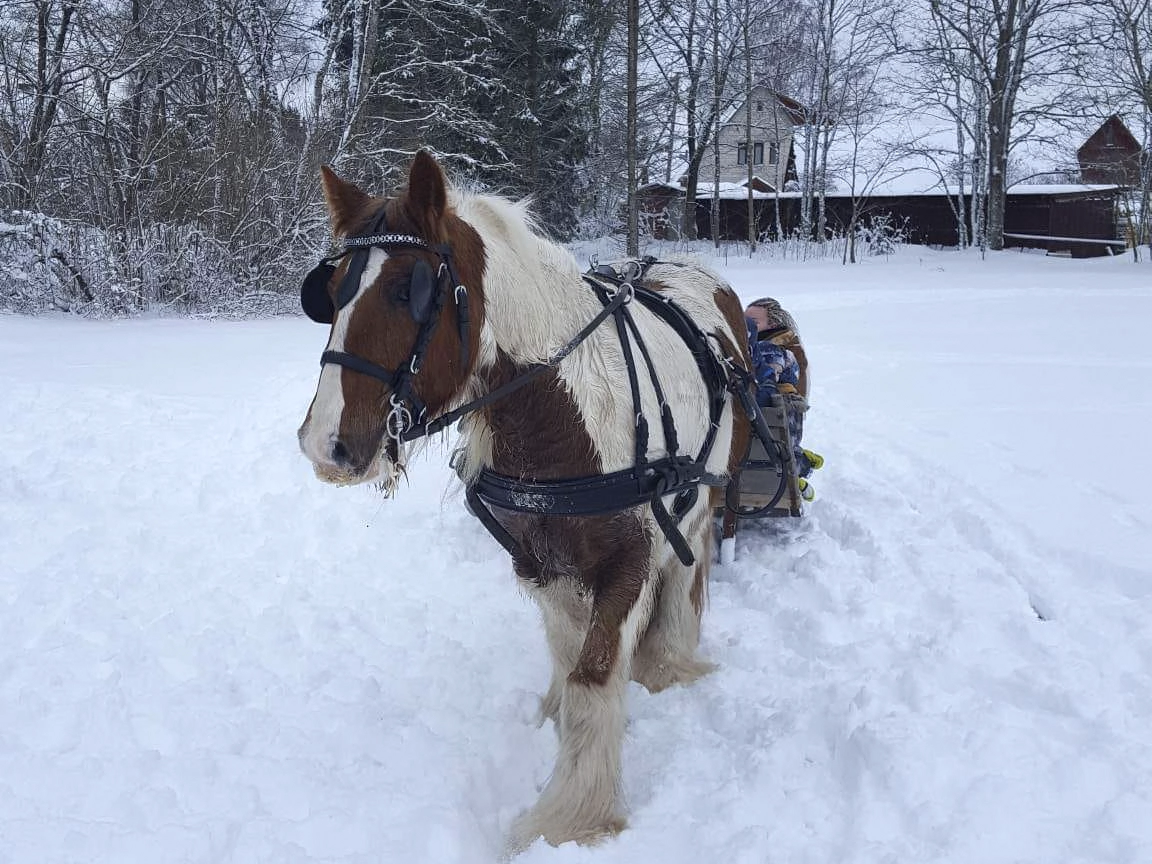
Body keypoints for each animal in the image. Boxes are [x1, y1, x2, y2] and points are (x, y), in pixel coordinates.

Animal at [292, 152, 751, 857]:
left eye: (405, 290)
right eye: (333, 290)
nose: (325, 444)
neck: (558, 411)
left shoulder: (629, 560)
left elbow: (593, 674)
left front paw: (570, 816)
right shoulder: (539, 557)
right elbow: (567, 655)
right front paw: (556, 724)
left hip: (703, 497)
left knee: (689, 565)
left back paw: (668, 658)